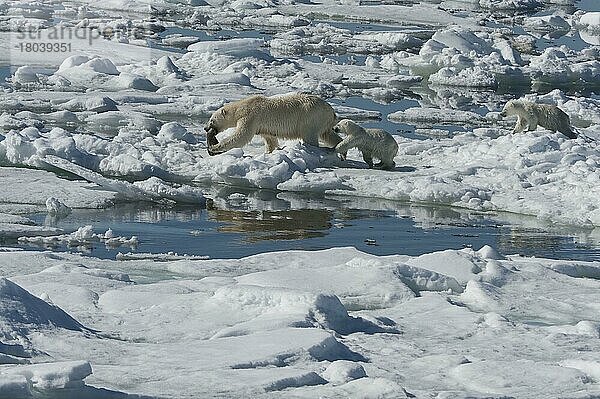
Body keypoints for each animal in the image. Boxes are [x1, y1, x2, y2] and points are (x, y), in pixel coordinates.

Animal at [204, 94, 342, 156]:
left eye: (211, 120)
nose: (205, 128)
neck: (241, 108)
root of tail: (331, 112)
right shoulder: (263, 126)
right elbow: (270, 139)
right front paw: (269, 152)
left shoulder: (250, 117)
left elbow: (241, 136)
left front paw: (214, 147)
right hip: (323, 122)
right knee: (328, 134)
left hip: (310, 117)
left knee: (310, 135)